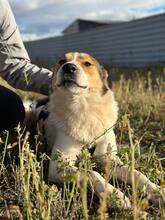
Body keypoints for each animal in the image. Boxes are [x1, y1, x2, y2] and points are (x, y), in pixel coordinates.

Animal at [27, 51, 165, 210]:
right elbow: (90, 173)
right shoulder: (59, 165)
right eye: (62, 61)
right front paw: (113, 195)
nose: (68, 67)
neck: (85, 107)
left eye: (87, 63)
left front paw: (157, 191)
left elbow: (135, 173)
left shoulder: (108, 158)